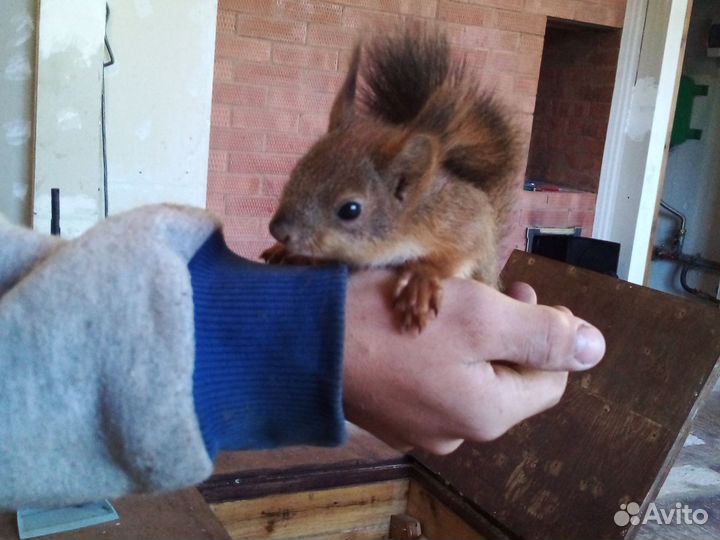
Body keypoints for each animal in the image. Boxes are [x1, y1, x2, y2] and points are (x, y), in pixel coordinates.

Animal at [261, 29, 520, 332]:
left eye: (350, 209)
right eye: (297, 171)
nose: (279, 231)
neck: (410, 220)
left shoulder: (461, 222)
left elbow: (459, 252)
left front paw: (420, 281)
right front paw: (287, 252)